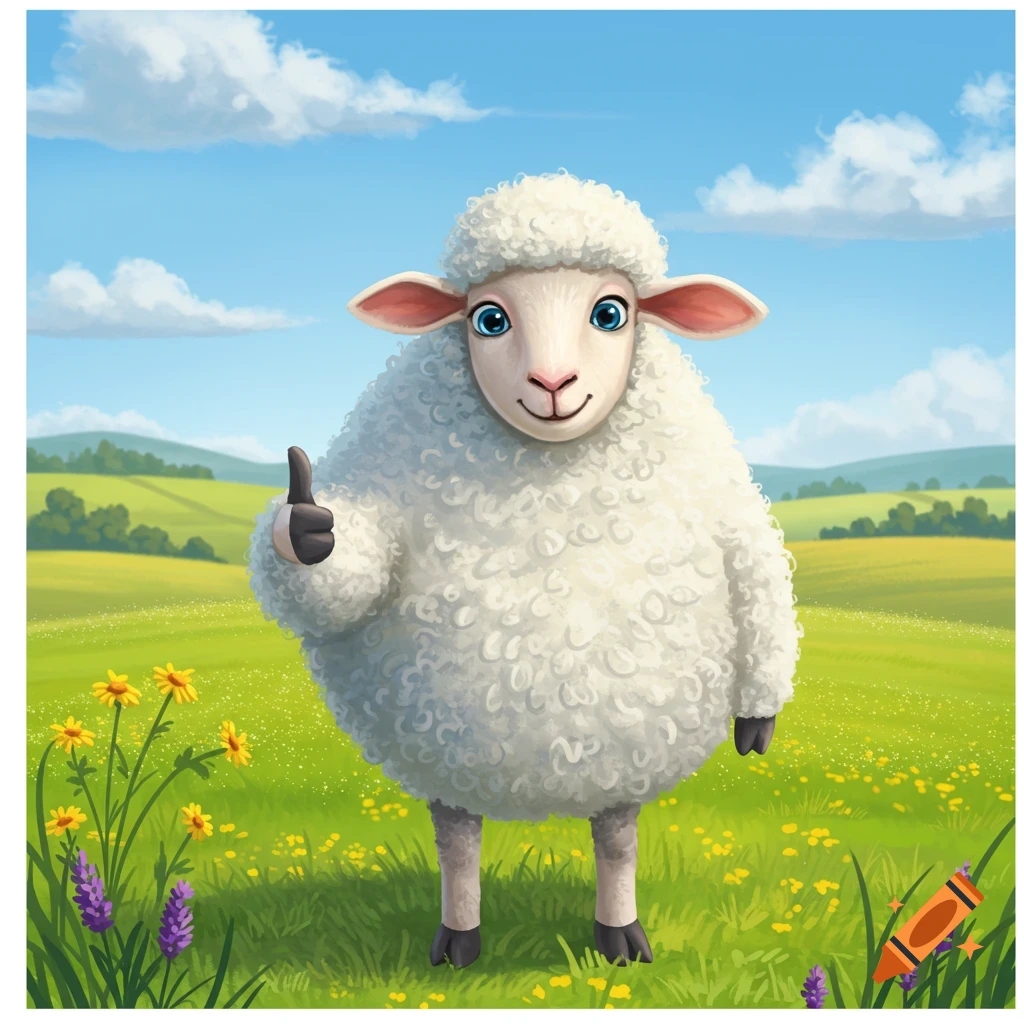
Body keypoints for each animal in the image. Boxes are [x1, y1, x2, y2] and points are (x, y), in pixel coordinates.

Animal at [248, 172, 800, 968]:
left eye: (610, 313)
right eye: (489, 319)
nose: (552, 382)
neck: (550, 466)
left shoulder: (724, 502)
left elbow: (757, 568)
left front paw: (758, 718)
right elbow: (355, 576)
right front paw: (304, 526)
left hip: (618, 749)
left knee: (616, 835)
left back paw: (618, 936)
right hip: (450, 750)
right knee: (458, 837)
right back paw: (459, 940)